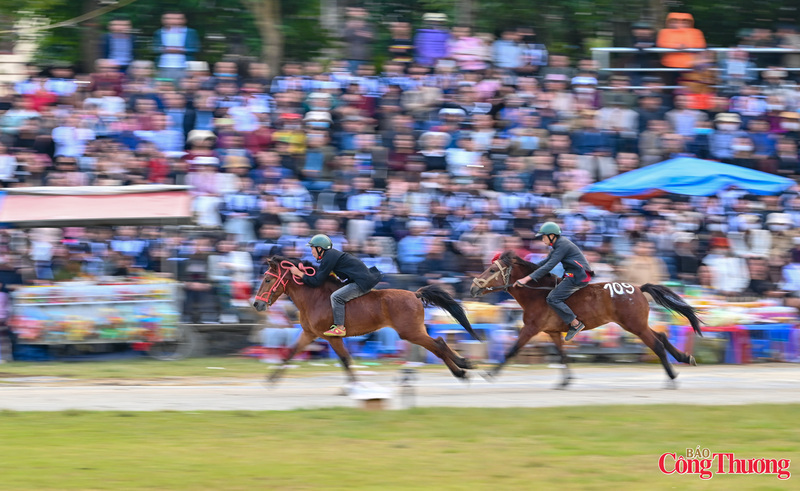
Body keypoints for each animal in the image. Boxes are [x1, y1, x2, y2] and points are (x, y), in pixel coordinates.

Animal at [253, 256, 481, 384]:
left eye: (268, 279)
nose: (257, 304)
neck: (314, 297)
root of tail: (415, 295)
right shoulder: (309, 334)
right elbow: (290, 353)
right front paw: (271, 380)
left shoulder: (333, 337)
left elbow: (345, 360)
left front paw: (354, 387)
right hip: (414, 332)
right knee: (439, 343)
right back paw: (463, 365)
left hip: (411, 332)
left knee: (438, 345)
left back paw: (461, 369)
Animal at [469, 251, 702, 388]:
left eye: (492, 270)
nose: (472, 287)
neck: (537, 293)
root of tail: (637, 288)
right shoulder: (553, 332)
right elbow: (562, 355)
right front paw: (565, 380)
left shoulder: (530, 328)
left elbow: (512, 350)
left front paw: (490, 373)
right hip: (636, 324)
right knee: (661, 335)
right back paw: (684, 357)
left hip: (634, 326)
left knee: (656, 344)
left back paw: (672, 378)